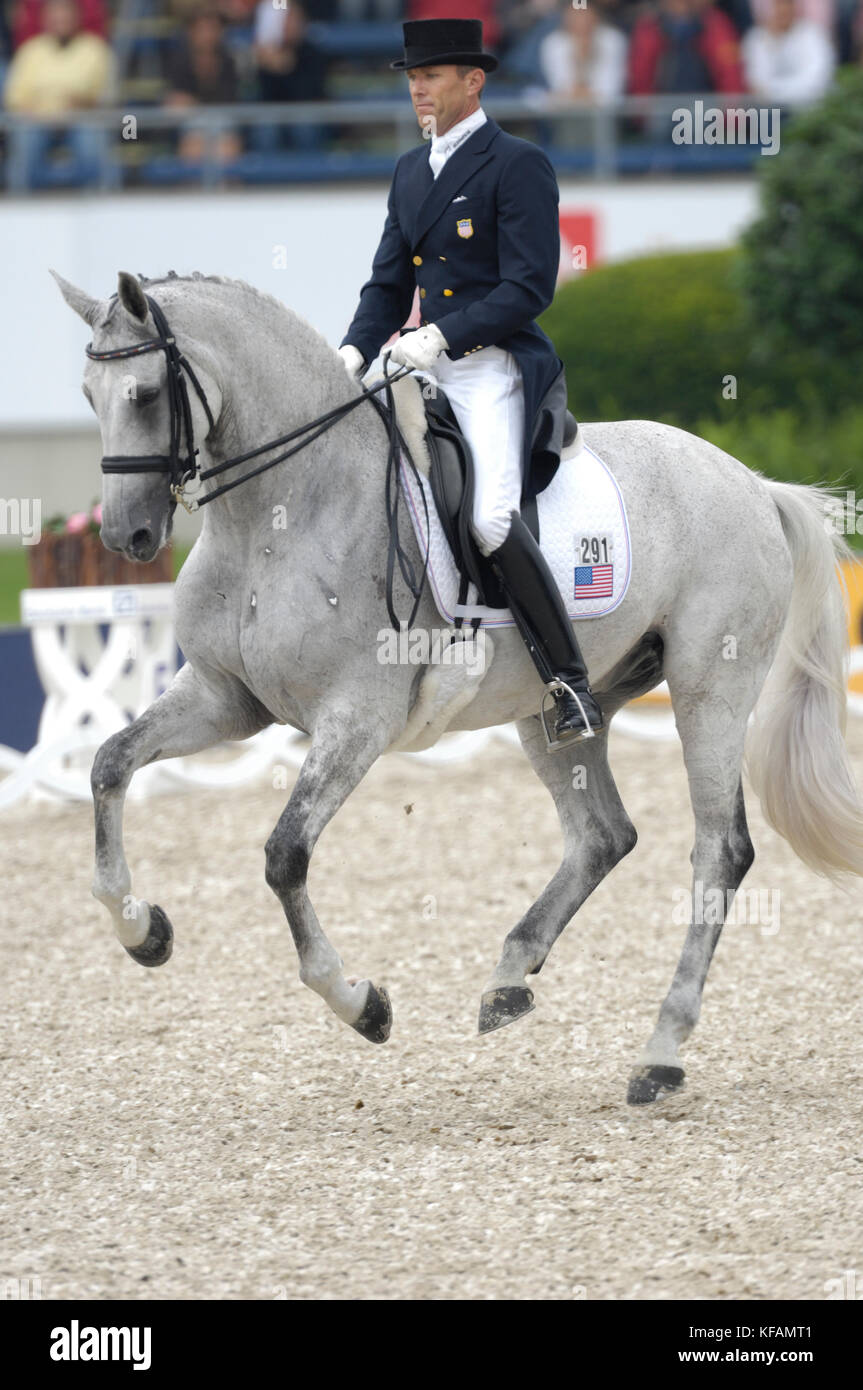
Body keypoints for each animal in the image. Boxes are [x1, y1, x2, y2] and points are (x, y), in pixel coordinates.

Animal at [53, 268, 863, 1105]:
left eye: (147, 393)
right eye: (87, 394)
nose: (126, 537)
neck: (276, 515)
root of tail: (750, 482)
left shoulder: (356, 720)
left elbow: (285, 855)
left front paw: (360, 1005)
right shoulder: (224, 698)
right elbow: (109, 764)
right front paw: (142, 929)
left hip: (710, 691)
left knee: (718, 852)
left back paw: (660, 1051)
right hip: (557, 714)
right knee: (603, 834)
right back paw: (509, 978)